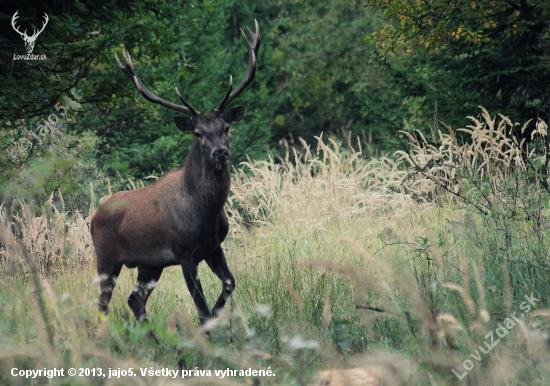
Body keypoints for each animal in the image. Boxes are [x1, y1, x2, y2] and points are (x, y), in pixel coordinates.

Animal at [89, 20, 262, 322]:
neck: (204, 213)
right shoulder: (184, 253)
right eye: (197, 133)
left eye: (226, 127)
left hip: (149, 265)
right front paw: (207, 326)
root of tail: (92, 217)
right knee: (103, 305)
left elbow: (229, 283)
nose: (220, 152)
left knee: (134, 300)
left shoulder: (214, 246)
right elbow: (201, 307)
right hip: (106, 258)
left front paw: (217, 316)